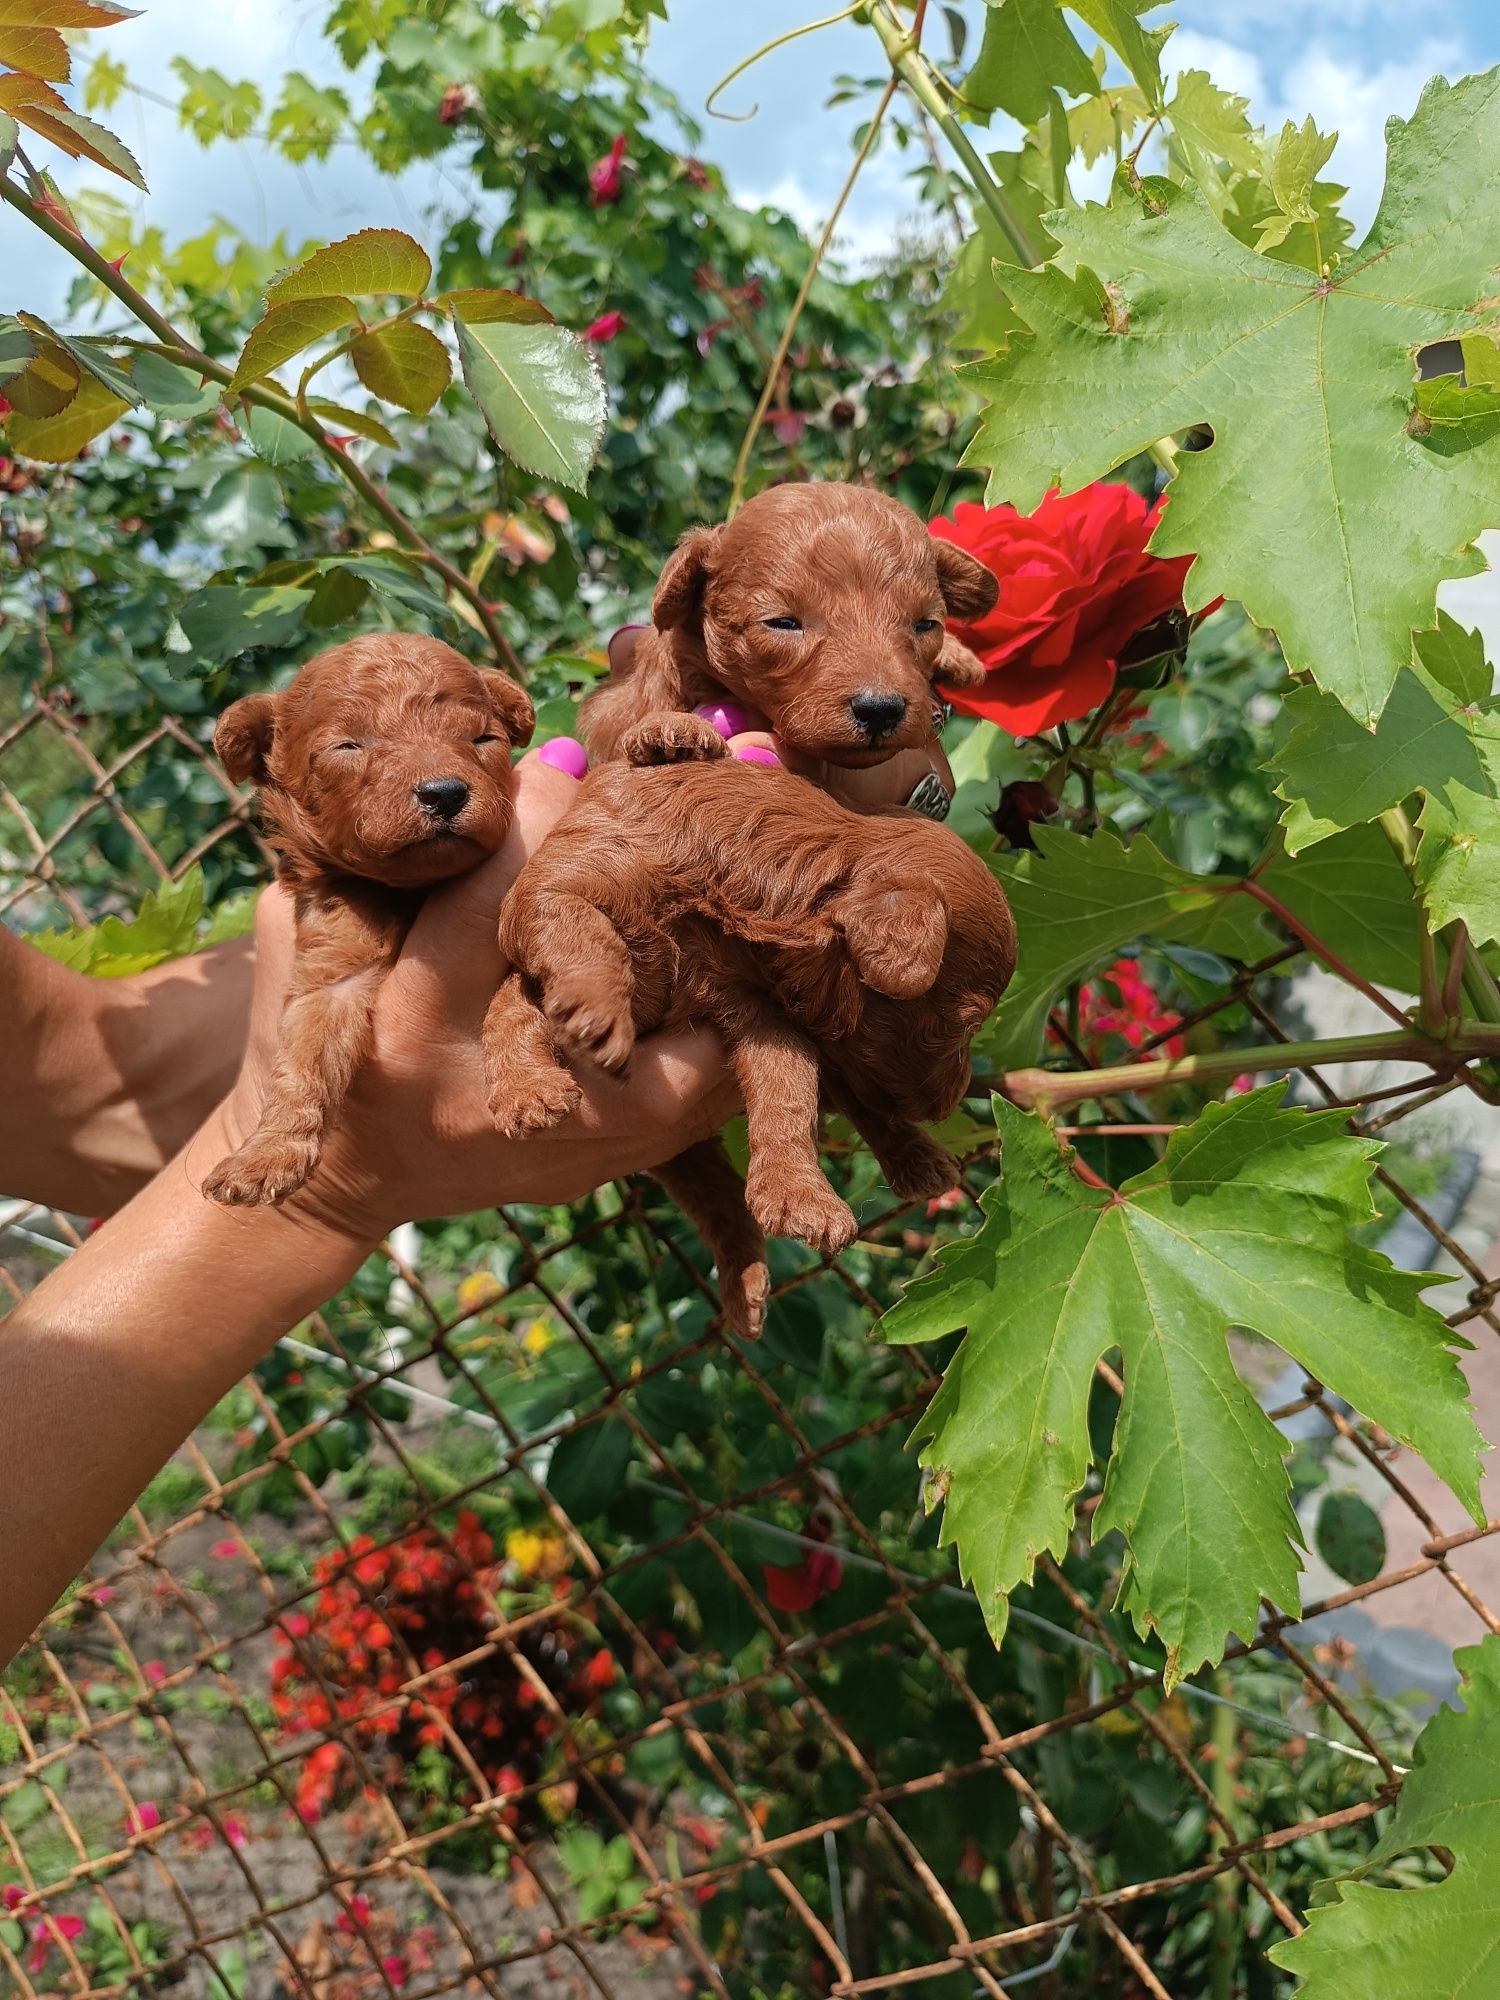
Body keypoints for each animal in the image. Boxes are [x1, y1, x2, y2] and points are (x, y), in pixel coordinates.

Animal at [203, 632, 536, 1208]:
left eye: (483, 738)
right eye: (348, 747)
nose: (445, 792)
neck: (413, 892)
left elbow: (515, 1004)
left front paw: (528, 1089)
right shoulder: (331, 964)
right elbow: (301, 1063)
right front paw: (266, 1155)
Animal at [488, 756, 1016, 1336]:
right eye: (968, 1027)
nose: (951, 1104)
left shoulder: (760, 1010)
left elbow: (788, 1088)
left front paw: (799, 1197)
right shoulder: (551, 884)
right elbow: (579, 926)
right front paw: (598, 1010)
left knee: (723, 1195)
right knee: (512, 1011)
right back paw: (528, 1092)